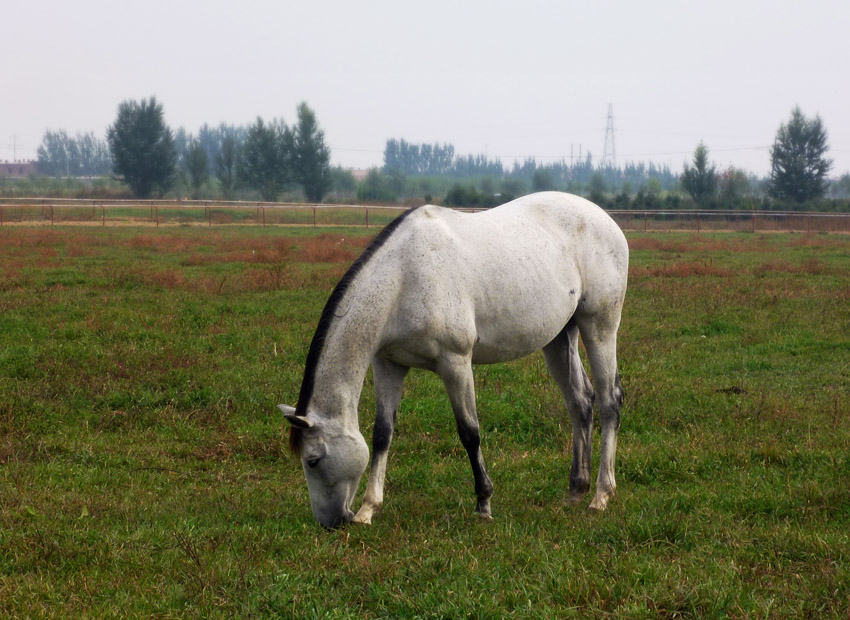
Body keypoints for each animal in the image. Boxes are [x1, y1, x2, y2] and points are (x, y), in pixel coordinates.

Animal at [278, 190, 624, 528]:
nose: (331, 522)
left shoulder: (455, 363)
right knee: (581, 402)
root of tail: (606, 220)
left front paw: (484, 504)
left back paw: (602, 495)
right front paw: (368, 509)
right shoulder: (389, 365)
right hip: (559, 338)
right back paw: (575, 491)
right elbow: (382, 433)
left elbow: (469, 432)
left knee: (609, 401)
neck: (403, 278)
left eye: (313, 460)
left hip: (600, 328)